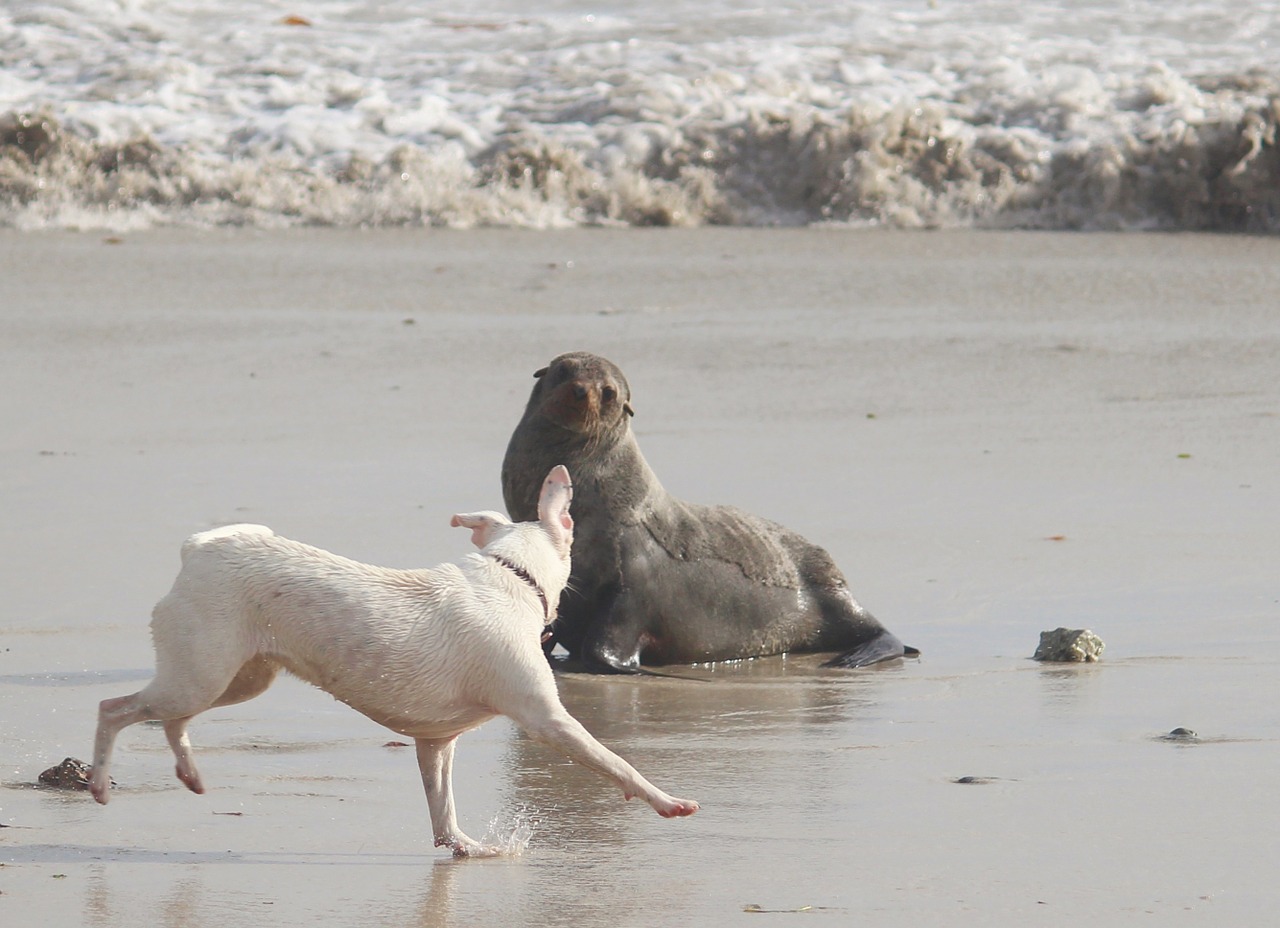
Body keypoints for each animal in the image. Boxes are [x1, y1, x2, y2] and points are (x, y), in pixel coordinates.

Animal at [90, 463, 701, 855]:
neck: (511, 574)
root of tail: (197, 552)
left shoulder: (436, 743)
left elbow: (443, 810)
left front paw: (465, 847)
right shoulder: (548, 721)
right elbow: (616, 762)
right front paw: (667, 802)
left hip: (237, 679)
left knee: (172, 720)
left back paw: (189, 774)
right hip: (202, 674)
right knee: (115, 709)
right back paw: (98, 784)